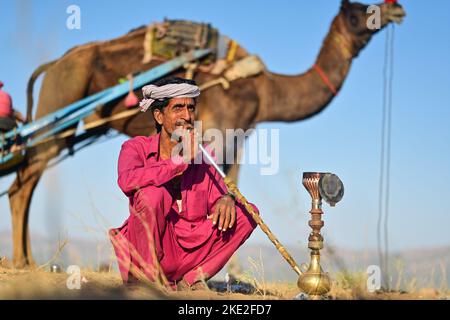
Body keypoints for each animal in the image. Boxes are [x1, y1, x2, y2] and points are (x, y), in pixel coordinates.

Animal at [7, 1, 404, 268]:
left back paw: (25, 259)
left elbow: (230, 185)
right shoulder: (223, 125)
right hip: (60, 101)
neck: (265, 90)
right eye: (358, 12)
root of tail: (54, 64)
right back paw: (24, 261)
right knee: (24, 181)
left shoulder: (240, 135)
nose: (396, 10)